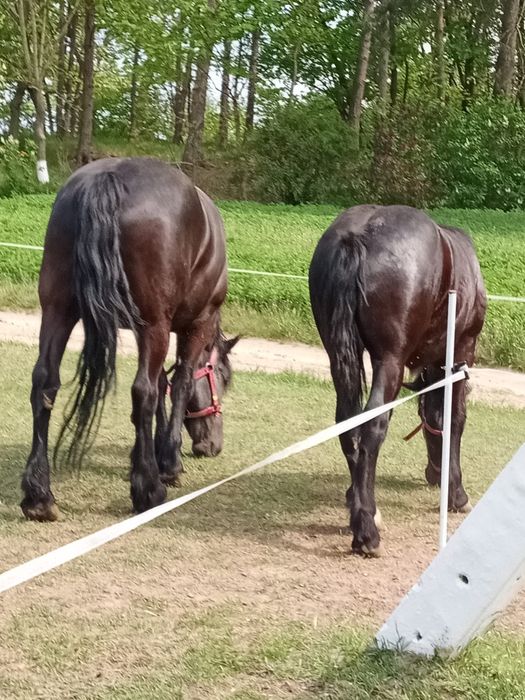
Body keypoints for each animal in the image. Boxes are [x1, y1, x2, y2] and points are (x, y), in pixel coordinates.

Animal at [22, 157, 237, 520]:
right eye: (221, 377)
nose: (213, 446)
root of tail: (110, 177)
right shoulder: (195, 326)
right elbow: (177, 385)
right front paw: (168, 463)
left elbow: (164, 385)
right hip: (153, 324)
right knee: (142, 391)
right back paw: (148, 490)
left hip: (58, 310)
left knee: (45, 384)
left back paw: (38, 496)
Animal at [310, 204, 486, 556]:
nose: (433, 473)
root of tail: (357, 235)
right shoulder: (461, 352)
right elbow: (452, 418)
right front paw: (456, 493)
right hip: (390, 361)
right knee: (373, 424)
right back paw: (366, 531)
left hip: (339, 357)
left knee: (348, 423)